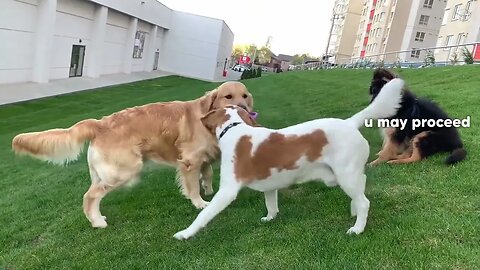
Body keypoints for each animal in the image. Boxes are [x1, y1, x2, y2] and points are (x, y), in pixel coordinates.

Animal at [11, 81, 253, 228]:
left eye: (245, 96)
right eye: (228, 96)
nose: (245, 109)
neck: (208, 119)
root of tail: (99, 123)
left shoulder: (203, 157)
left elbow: (208, 173)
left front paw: (209, 189)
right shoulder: (190, 161)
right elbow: (192, 185)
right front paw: (200, 202)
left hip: (103, 173)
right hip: (125, 170)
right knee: (89, 196)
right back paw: (97, 222)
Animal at [172, 78, 404, 240]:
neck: (234, 128)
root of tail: (350, 123)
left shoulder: (227, 191)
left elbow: (204, 215)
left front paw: (185, 233)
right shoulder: (269, 185)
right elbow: (271, 204)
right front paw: (270, 218)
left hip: (345, 175)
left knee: (365, 202)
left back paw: (357, 228)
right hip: (348, 175)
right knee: (361, 188)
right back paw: (354, 210)